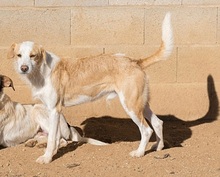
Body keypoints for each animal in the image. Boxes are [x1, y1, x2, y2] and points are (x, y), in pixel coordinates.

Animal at [7, 12, 173, 163]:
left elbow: (53, 138)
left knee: (146, 130)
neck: (42, 71)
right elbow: (56, 138)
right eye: (19, 55)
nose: (23, 68)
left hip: (131, 105)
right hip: (140, 103)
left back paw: (139, 153)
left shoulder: (54, 110)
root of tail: (135, 61)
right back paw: (158, 147)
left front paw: (47, 158)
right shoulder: (50, 110)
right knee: (158, 123)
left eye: (33, 55)